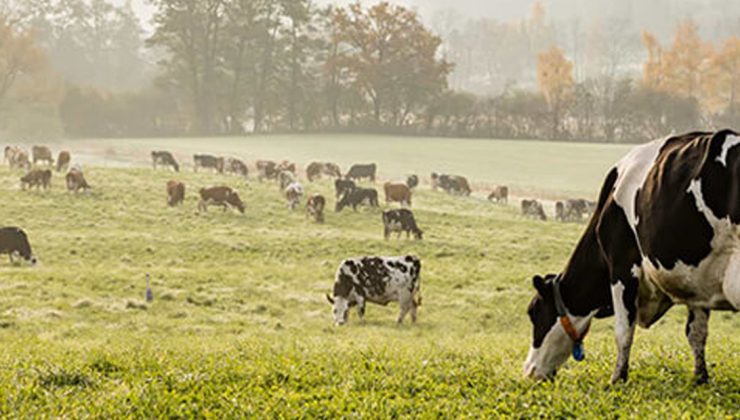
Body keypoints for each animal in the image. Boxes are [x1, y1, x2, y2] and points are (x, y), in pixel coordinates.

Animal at [524, 130, 740, 386]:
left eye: (534, 312)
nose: (528, 370)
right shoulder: (695, 279)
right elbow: (696, 332)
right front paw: (700, 377)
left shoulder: (622, 266)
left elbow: (623, 330)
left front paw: (617, 378)